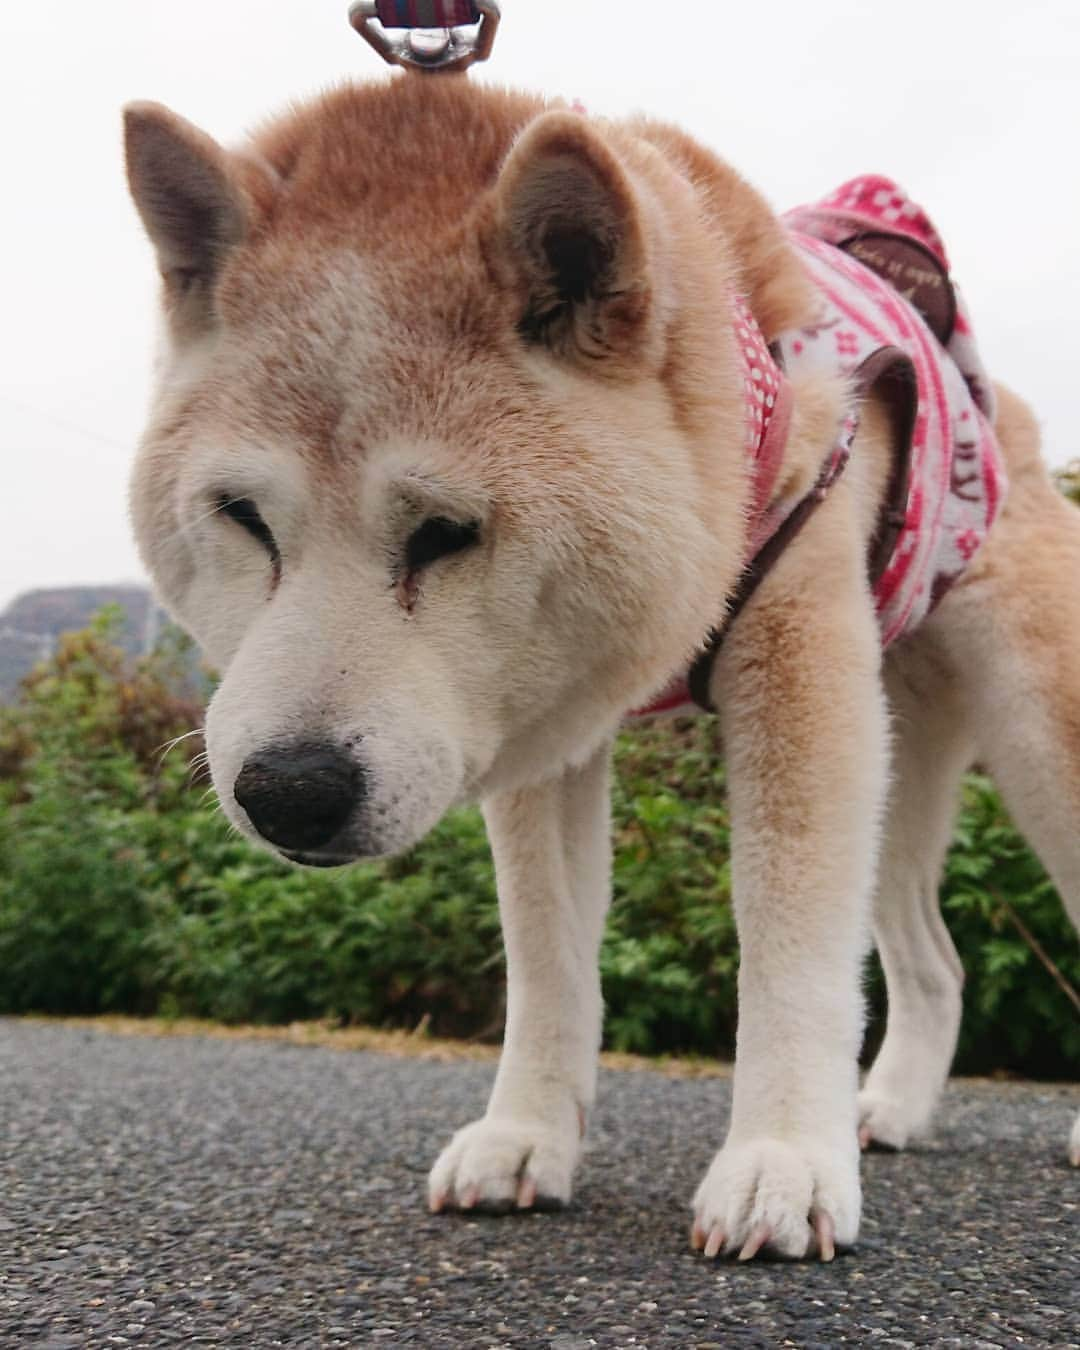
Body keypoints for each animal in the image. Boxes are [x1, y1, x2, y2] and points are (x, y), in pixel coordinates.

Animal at [124, 71, 1069, 1252]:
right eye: (243, 517)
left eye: (446, 533)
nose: (289, 791)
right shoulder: (541, 726)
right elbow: (547, 956)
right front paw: (526, 1138)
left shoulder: (798, 663)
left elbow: (790, 936)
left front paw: (780, 1161)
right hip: (896, 753)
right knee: (933, 961)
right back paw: (887, 1109)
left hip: (1027, 728)